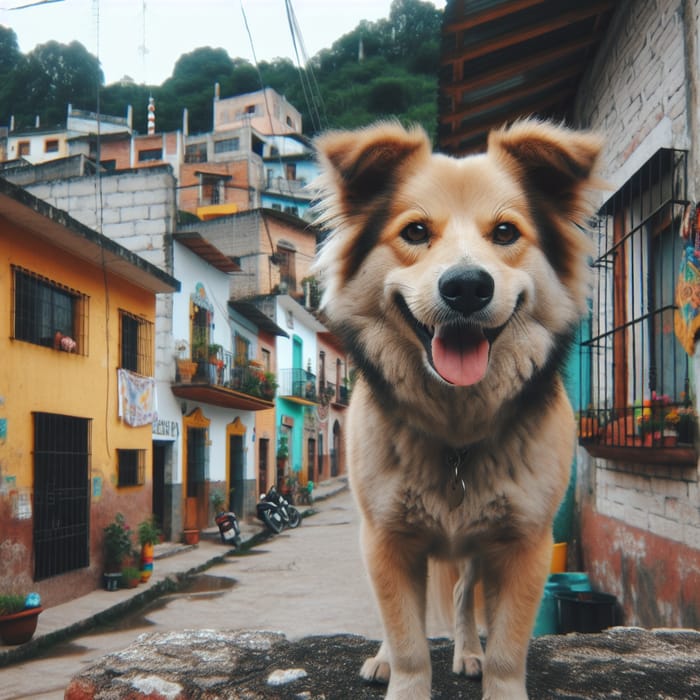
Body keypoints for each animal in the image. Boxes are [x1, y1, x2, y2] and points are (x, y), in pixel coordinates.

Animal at [314, 120, 600, 700]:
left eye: (506, 233)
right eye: (416, 231)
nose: (467, 286)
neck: (456, 431)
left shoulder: (524, 544)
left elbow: (508, 652)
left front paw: (492, 673)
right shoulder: (387, 539)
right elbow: (407, 641)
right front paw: (398, 671)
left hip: (474, 551)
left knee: (465, 597)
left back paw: (468, 651)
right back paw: (383, 657)